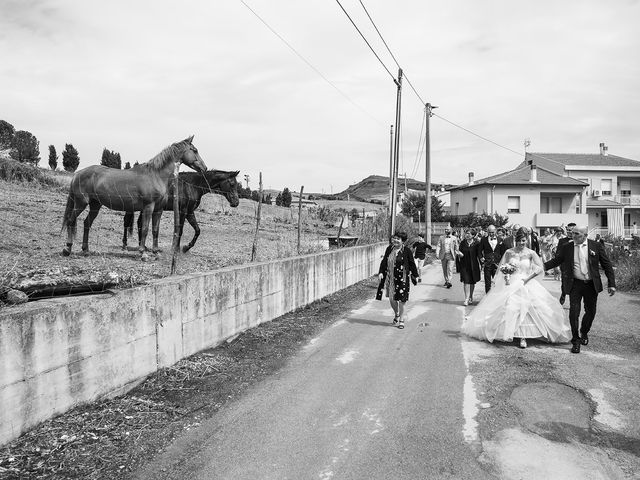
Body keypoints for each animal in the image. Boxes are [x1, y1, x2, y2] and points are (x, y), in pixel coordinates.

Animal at [60, 135, 208, 258]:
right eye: (195, 150)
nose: (204, 168)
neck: (156, 175)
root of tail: (77, 174)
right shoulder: (148, 207)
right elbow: (145, 229)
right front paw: (143, 253)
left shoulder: (158, 209)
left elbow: (155, 230)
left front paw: (155, 252)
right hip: (80, 203)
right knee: (71, 220)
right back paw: (67, 249)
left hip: (95, 205)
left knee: (87, 223)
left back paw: (86, 250)